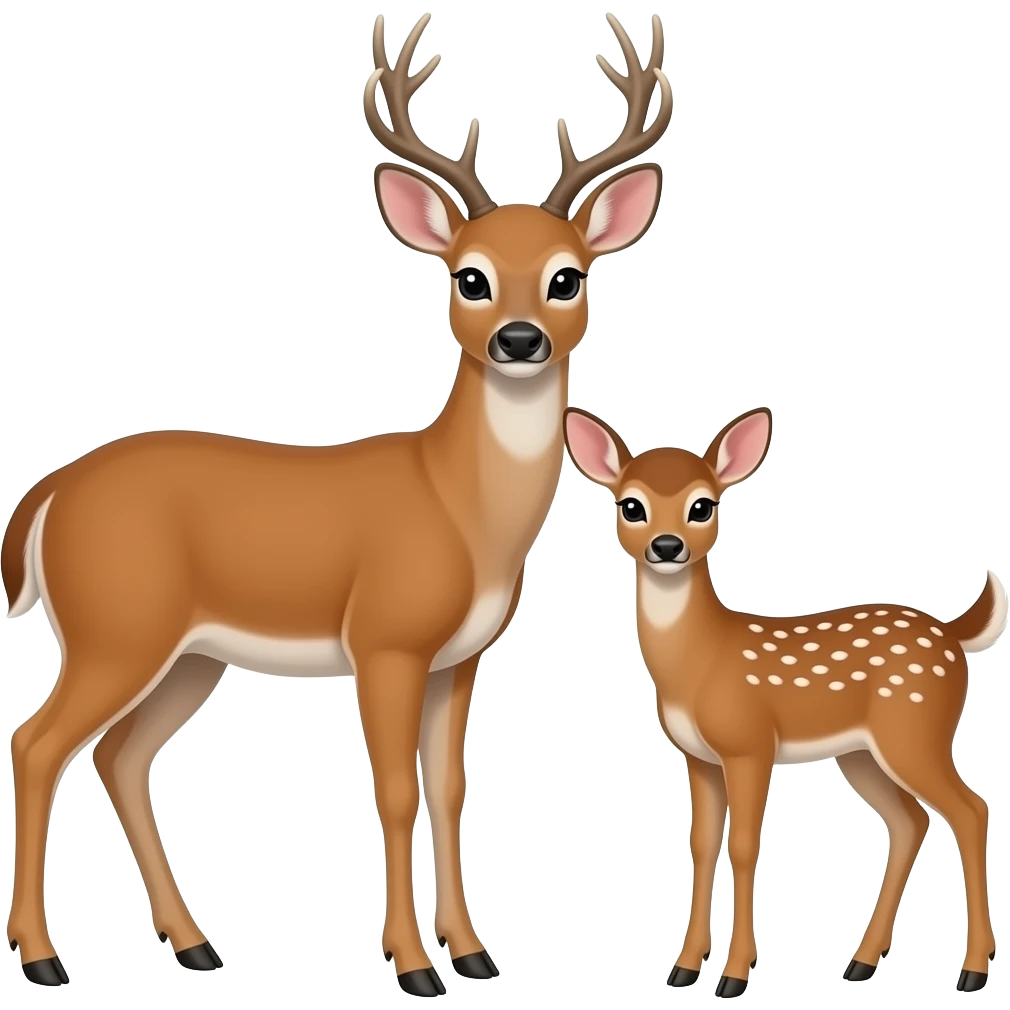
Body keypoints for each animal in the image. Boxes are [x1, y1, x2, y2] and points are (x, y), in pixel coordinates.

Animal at [1, 10, 673, 995]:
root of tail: (47, 491)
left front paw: (474, 952)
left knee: (121, 755)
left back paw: (195, 944)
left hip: (188, 654)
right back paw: (45, 956)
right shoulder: (384, 640)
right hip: (115, 626)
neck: (458, 506)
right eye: (469, 276)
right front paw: (414, 965)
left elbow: (449, 790)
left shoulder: (458, 659)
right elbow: (392, 793)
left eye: (568, 277)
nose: (519, 340)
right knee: (37, 742)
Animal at [562, 405, 1005, 997]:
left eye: (703, 505)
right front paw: (684, 968)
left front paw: (734, 974)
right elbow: (702, 843)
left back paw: (973, 969)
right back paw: (861, 962)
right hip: (860, 754)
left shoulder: (750, 744)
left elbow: (746, 844)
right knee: (910, 820)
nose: (667, 545)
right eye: (630, 505)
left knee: (971, 809)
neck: (700, 662)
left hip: (915, 730)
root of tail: (953, 636)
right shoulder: (698, 757)